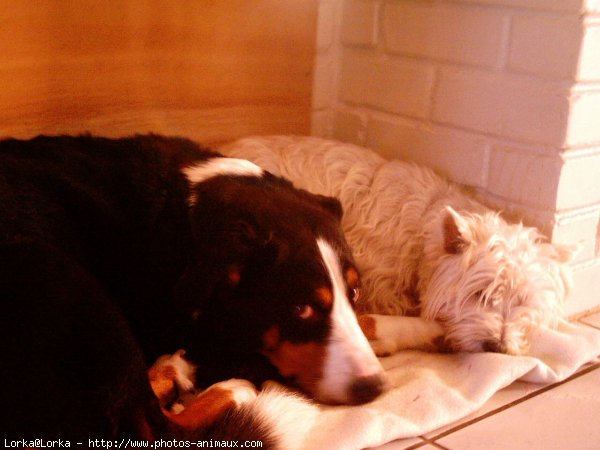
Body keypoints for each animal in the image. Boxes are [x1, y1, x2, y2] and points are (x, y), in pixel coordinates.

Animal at [0, 134, 384, 442]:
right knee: (161, 429)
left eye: (354, 292)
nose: (374, 387)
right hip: (62, 277)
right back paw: (229, 388)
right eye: (301, 309)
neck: (182, 219)